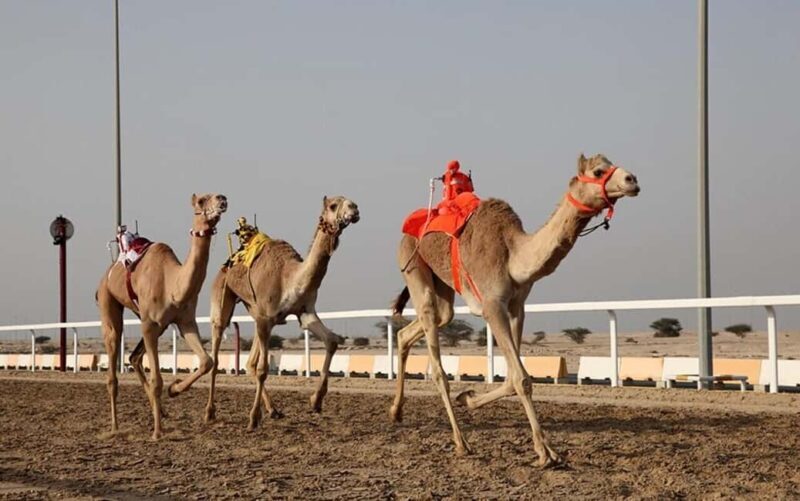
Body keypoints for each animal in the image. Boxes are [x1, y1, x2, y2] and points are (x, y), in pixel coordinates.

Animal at [96, 193, 228, 439]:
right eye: (201, 201)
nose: (222, 199)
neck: (172, 284)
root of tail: (107, 273)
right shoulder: (149, 324)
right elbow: (157, 379)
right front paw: (157, 433)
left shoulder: (185, 321)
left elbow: (207, 361)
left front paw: (174, 388)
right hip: (109, 302)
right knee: (113, 361)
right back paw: (116, 427)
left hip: (156, 323)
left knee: (134, 358)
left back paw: (161, 412)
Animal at [203, 196, 360, 429]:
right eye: (333, 206)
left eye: (350, 202)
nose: (355, 209)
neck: (289, 276)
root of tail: (228, 263)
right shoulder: (266, 317)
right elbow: (263, 369)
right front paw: (253, 418)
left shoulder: (304, 312)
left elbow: (332, 341)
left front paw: (316, 401)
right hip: (223, 296)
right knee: (218, 344)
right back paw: (210, 412)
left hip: (256, 313)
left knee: (250, 363)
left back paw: (274, 410)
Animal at [390, 154, 640, 467]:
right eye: (598, 171)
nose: (632, 180)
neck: (513, 254)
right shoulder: (491, 306)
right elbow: (521, 378)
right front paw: (545, 453)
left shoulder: (516, 307)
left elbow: (512, 377)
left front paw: (468, 398)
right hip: (412, 264)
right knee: (436, 362)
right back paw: (461, 442)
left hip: (442, 286)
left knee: (424, 324)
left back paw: (396, 411)